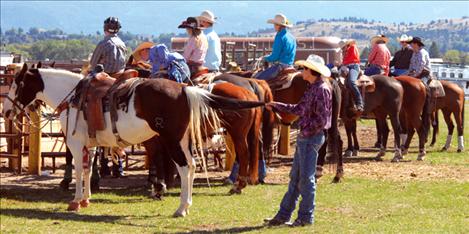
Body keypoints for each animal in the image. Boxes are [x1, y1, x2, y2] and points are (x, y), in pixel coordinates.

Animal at [3, 64, 266, 218]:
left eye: (16, 83)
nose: (6, 111)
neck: (73, 97)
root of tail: (185, 90)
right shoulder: (91, 145)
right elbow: (88, 171)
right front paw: (86, 199)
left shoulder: (76, 145)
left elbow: (78, 170)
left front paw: (76, 201)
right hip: (182, 141)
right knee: (191, 167)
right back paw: (189, 203)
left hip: (174, 141)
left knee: (186, 168)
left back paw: (182, 208)